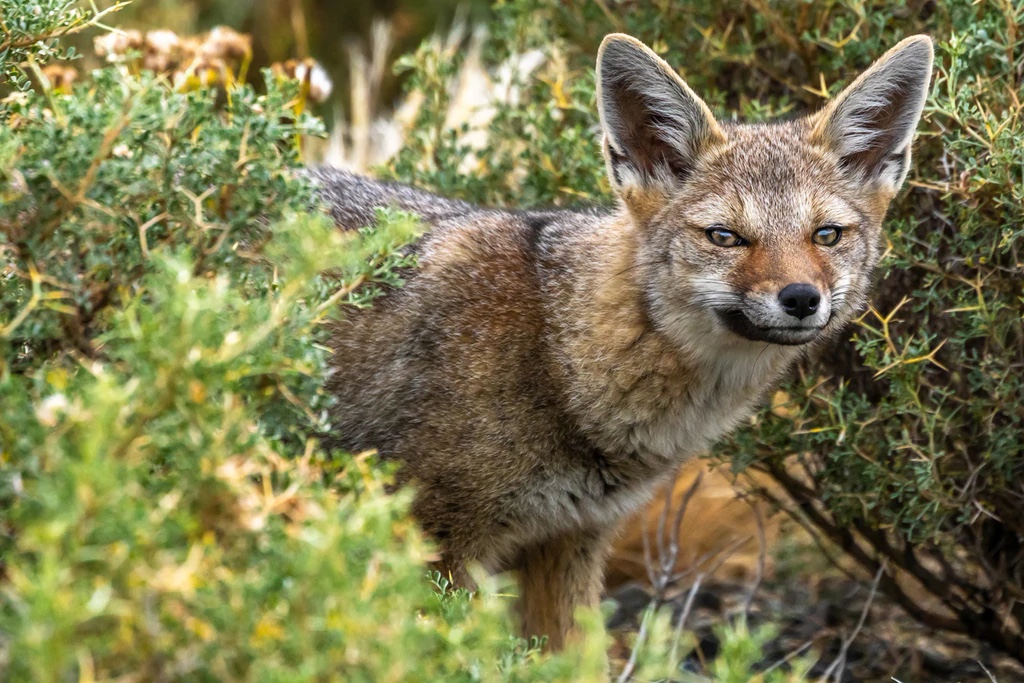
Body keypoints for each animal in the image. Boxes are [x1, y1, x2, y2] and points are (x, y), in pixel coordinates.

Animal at [314, 34, 934, 652]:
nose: (802, 298)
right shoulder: (437, 544)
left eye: (825, 235)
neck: (555, 348)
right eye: (725, 237)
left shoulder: (571, 540)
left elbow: (577, 658)